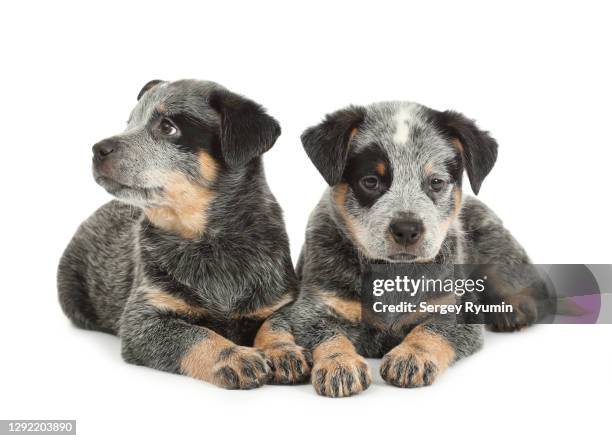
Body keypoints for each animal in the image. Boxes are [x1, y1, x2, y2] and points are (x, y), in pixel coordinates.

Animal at [57, 79, 310, 388]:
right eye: (130, 122)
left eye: (168, 127)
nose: (97, 148)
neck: (210, 244)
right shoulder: (143, 320)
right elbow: (196, 335)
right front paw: (235, 357)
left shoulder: (279, 300)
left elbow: (275, 324)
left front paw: (283, 350)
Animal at [266, 102, 548, 396]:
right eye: (370, 181)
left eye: (436, 182)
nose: (406, 229)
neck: (392, 274)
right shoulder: (313, 307)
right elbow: (327, 334)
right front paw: (339, 363)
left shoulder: (455, 308)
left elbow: (431, 331)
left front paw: (412, 356)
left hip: (492, 241)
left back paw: (513, 309)